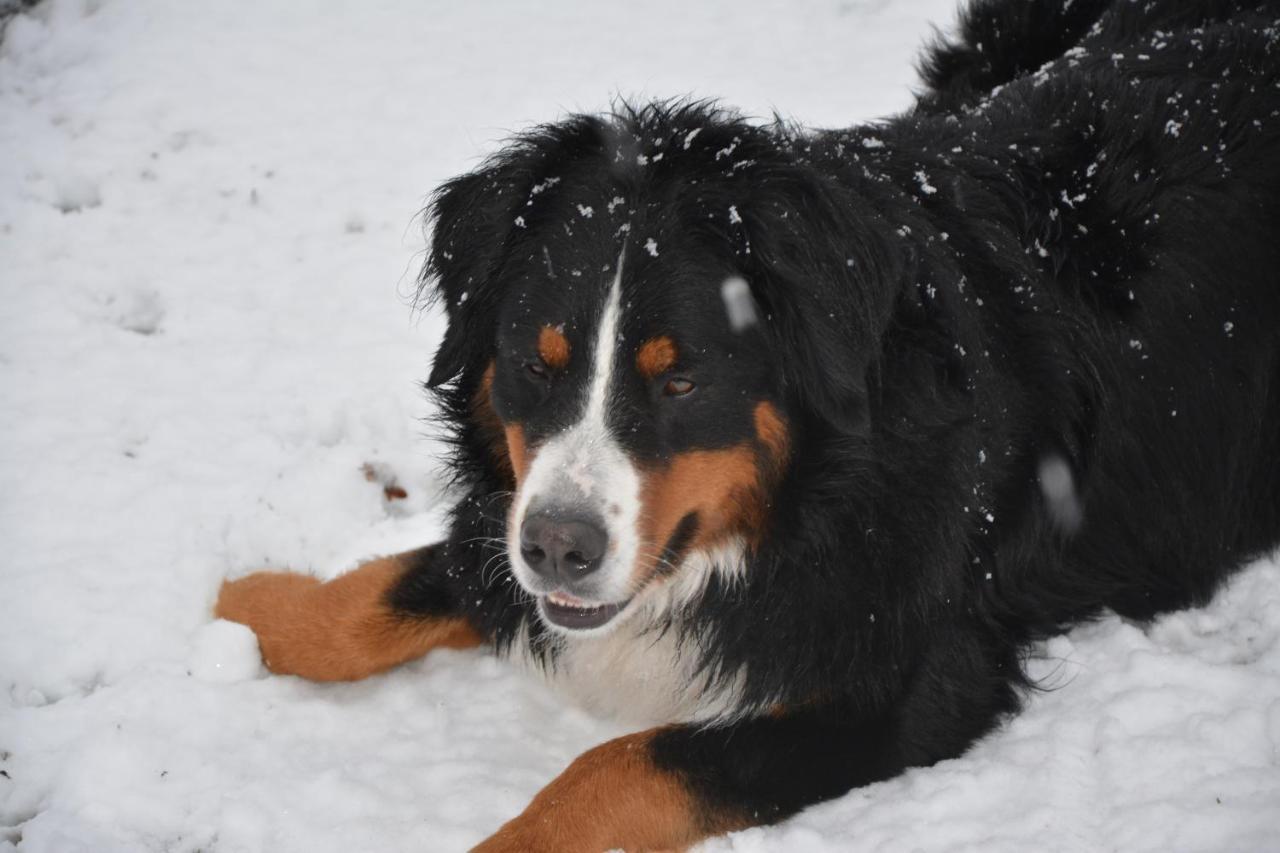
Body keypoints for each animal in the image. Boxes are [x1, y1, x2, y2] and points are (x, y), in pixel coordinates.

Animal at [215, 1, 1280, 845]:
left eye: (682, 382)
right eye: (535, 364)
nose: (559, 548)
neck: (798, 508)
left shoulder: (905, 687)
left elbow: (621, 766)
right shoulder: (513, 509)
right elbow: (391, 586)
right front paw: (244, 607)